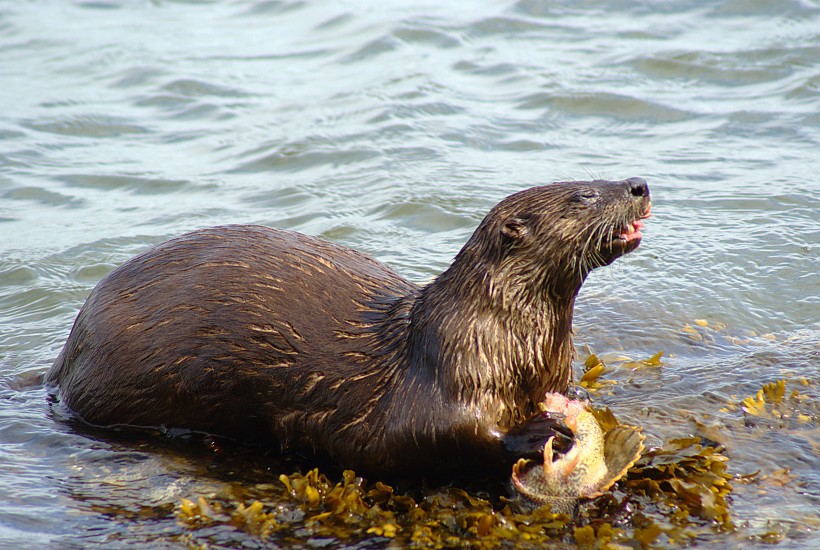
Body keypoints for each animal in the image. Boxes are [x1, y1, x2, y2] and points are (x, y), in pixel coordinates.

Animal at [48, 180, 652, 478]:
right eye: (584, 194)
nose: (638, 183)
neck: (508, 343)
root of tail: (70, 346)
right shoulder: (438, 388)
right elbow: (446, 436)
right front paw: (539, 433)